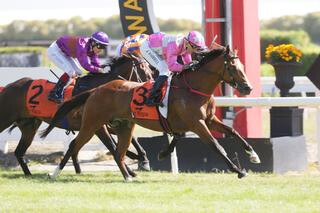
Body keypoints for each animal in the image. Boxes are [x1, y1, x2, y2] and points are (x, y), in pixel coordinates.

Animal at [0, 55, 154, 176]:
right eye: (144, 69)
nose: (151, 84)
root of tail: (8, 87)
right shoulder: (97, 126)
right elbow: (111, 145)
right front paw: (131, 168)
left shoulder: (104, 123)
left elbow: (131, 138)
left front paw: (143, 159)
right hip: (6, 118)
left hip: (29, 126)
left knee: (19, 152)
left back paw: (29, 174)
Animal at [42, 45, 262, 181]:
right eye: (232, 66)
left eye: (241, 65)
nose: (248, 88)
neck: (193, 88)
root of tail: (96, 90)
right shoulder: (197, 123)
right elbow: (217, 146)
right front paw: (238, 171)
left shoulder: (209, 119)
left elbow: (233, 132)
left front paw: (253, 155)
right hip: (93, 124)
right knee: (75, 145)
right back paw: (54, 173)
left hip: (123, 126)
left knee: (118, 151)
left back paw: (128, 175)